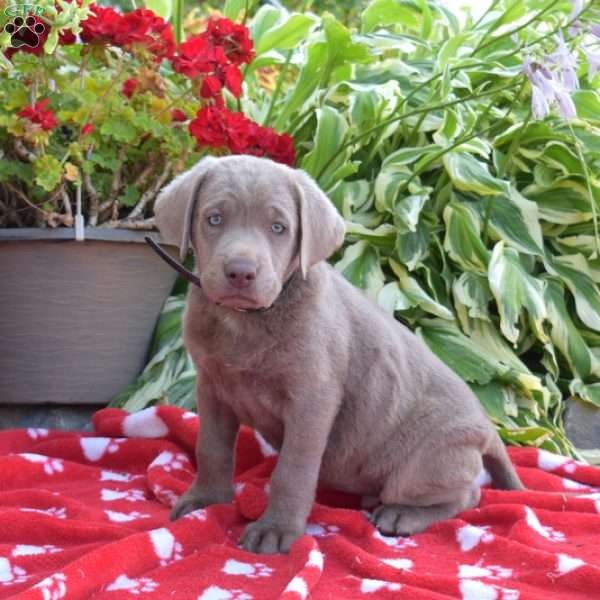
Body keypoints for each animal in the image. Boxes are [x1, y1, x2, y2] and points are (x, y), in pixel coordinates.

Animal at [154, 154, 520, 552]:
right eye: (214, 218)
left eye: (279, 227)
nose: (240, 272)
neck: (244, 321)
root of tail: (487, 426)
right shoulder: (213, 387)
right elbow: (212, 448)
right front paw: (206, 500)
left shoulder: (312, 400)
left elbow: (292, 470)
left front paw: (276, 530)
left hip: (424, 462)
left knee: (468, 495)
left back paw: (402, 515)